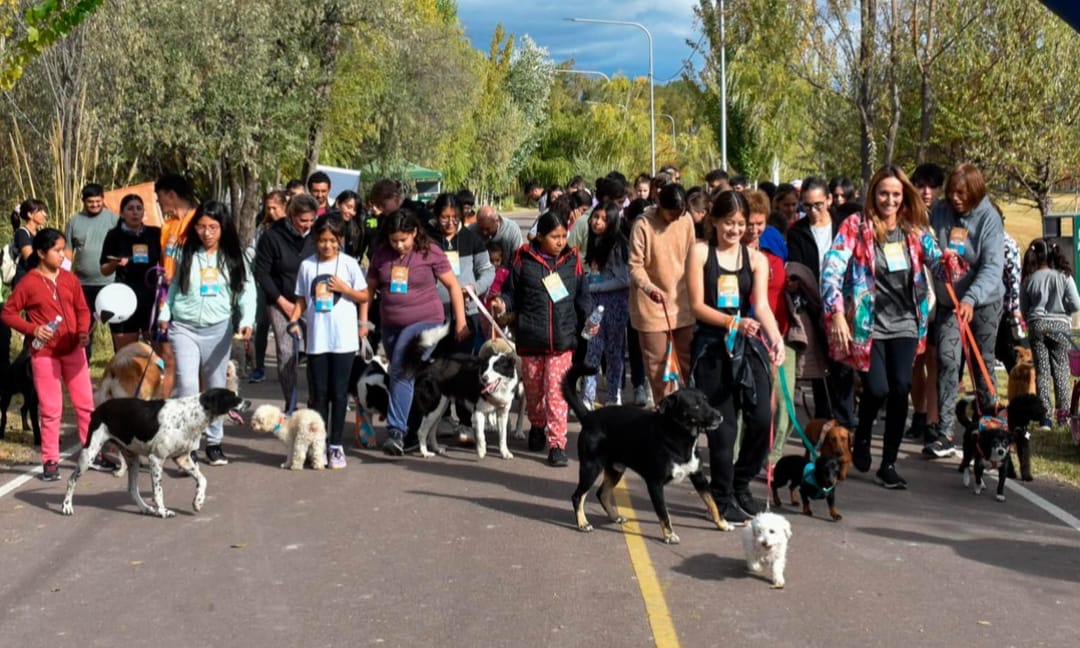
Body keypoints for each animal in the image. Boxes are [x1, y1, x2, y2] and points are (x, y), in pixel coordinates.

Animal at [61, 388, 248, 518]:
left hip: (133, 459)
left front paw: (198, 501)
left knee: (132, 489)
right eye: (233, 397)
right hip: (89, 454)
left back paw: (145, 508)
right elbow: (158, 492)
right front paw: (163, 511)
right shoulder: (156, 459)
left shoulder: (182, 458)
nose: (249, 403)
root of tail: (98, 409)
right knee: (71, 480)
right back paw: (66, 506)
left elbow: (203, 480)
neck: (191, 415)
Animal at [403, 323, 521, 460]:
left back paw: (437, 448)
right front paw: (481, 451)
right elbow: (480, 434)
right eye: (485, 367)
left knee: (431, 430)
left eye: (497, 368)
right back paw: (425, 453)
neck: (499, 389)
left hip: (441, 406)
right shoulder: (478, 411)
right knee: (422, 431)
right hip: (434, 405)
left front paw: (505, 453)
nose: (484, 378)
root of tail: (429, 364)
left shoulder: (502, 413)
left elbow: (503, 436)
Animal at [563, 363, 731, 544]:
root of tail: (588, 416)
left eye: (707, 401)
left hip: (615, 469)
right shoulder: (655, 483)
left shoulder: (698, 477)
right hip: (591, 467)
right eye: (696, 406)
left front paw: (722, 524)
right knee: (578, 496)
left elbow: (712, 503)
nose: (719, 416)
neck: (677, 436)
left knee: (602, 493)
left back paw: (614, 516)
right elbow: (663, 513)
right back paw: (583, 523)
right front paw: (669, 534)